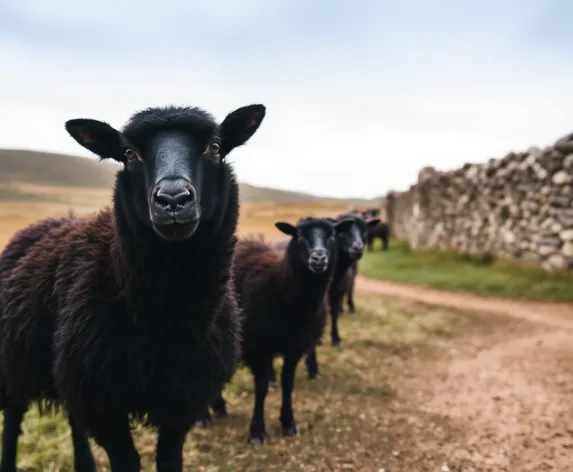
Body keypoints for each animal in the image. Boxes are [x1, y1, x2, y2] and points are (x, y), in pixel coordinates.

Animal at [0, 104, 266, 472]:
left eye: (214, 147)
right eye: (128, 154)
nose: (173, 200)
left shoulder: (181, 400)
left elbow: (169, 458)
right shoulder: (103, 405)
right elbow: (126, 461)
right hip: (15, 362)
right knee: (13, 415)